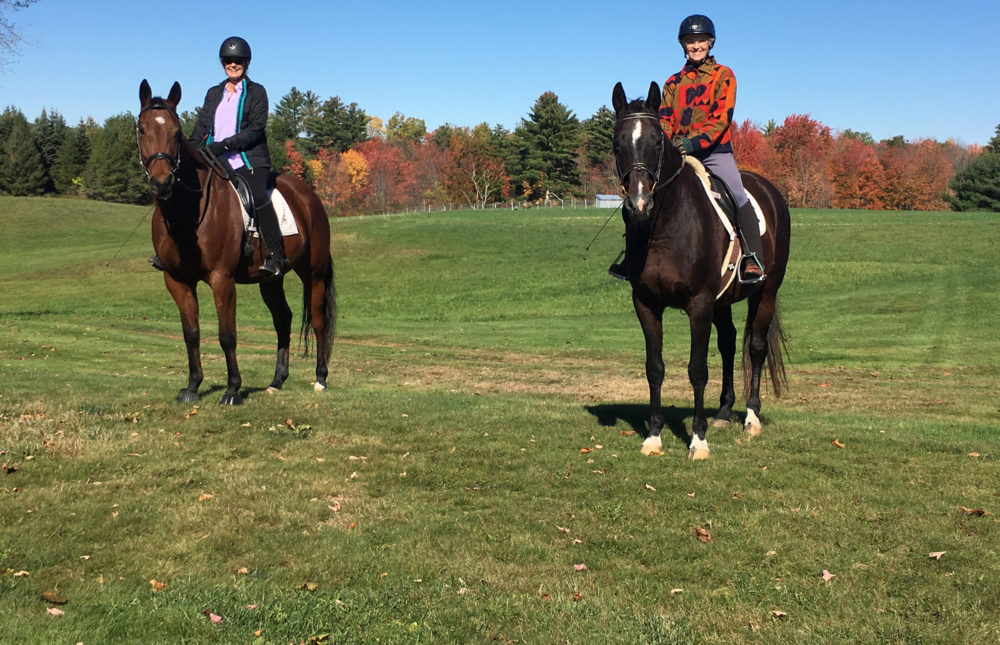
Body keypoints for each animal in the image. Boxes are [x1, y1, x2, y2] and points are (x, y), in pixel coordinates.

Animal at [137, 79, 336, 402]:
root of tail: (309, 197)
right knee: (283, 319)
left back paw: (320, 378)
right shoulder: (177, 280)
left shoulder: (222, 279)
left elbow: (227, 335)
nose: (162, 182)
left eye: (176, 132)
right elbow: (191, 333)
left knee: (319, 322)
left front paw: (232, 388)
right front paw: (193, 385)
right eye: (141, 129)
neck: (190, 211)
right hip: (271, 279)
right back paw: (277, 380)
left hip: (314, 274)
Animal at [608, 83, 788, 458]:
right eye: (617, 143)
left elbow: (697, 369)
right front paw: (653, 435)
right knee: (729, 343)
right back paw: (723, 413)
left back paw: (751, 417)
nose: (639, 205)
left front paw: (698, 439)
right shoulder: (646, 304)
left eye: (657, 142)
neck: (665, 226)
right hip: (723, 302)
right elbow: (655, 368)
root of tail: (771, 191)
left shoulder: (700, 304)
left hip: (765, 293)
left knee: (756, 347)